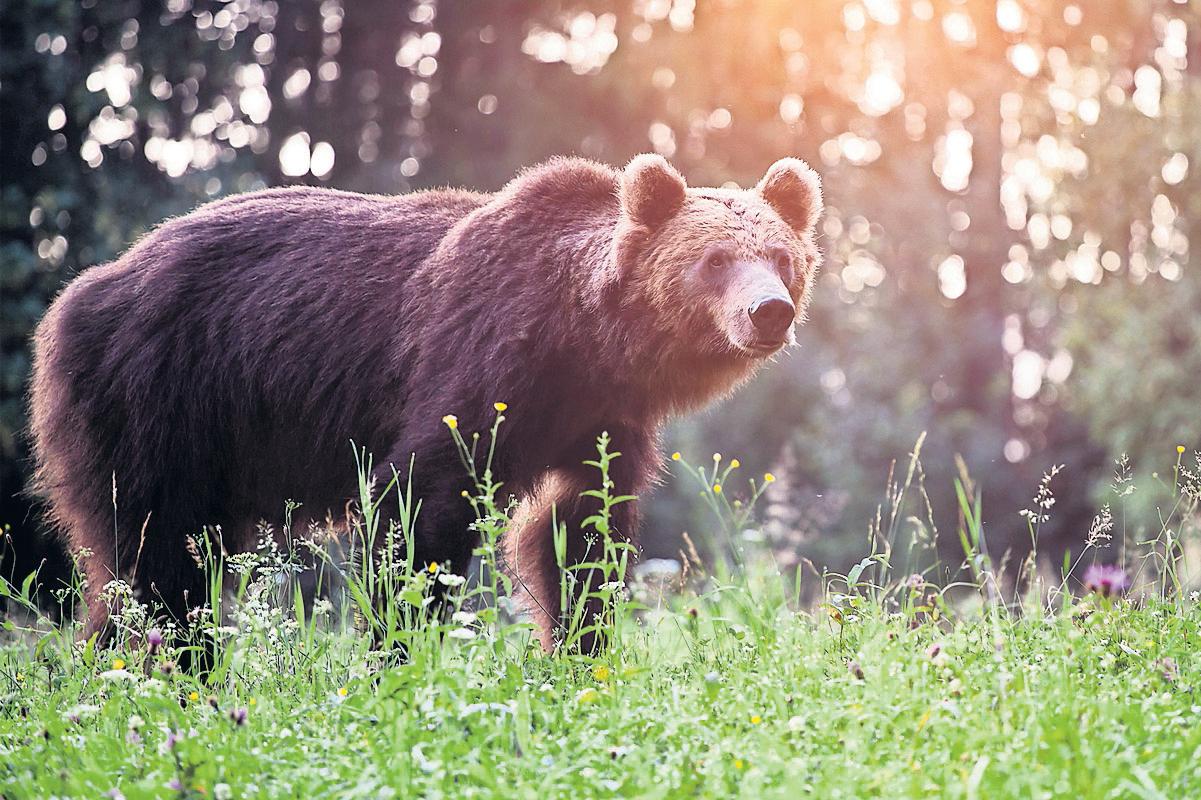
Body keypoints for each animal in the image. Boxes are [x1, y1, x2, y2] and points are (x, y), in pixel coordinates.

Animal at [28, 153, 822, 652]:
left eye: (781, 257)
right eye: (714, 260)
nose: (769, 312)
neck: (587, 341)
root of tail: (87, 285)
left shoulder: (600, 421)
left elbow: (580, 533)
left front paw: (577, 649)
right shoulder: (480, 363)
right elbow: (418, 504)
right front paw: (399, 650)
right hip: (160, 394)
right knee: (156, 553)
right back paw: (164, 666)